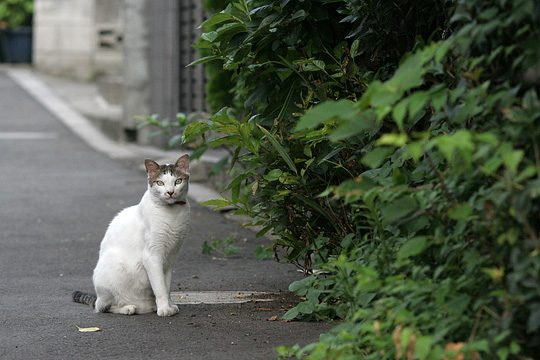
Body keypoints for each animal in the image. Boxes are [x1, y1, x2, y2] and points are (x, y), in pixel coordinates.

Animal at [71, 153, 190, 316]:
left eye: (177, 181)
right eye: (160, 183)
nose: (170, 192)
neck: (172, 214)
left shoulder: (170, 258)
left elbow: (166, 286)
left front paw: (169, 305)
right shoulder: (152, 256)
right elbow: (159, 287)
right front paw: (164, 309)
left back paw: (149, 306)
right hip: (111, 269)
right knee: (104, 307)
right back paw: (128, 308)